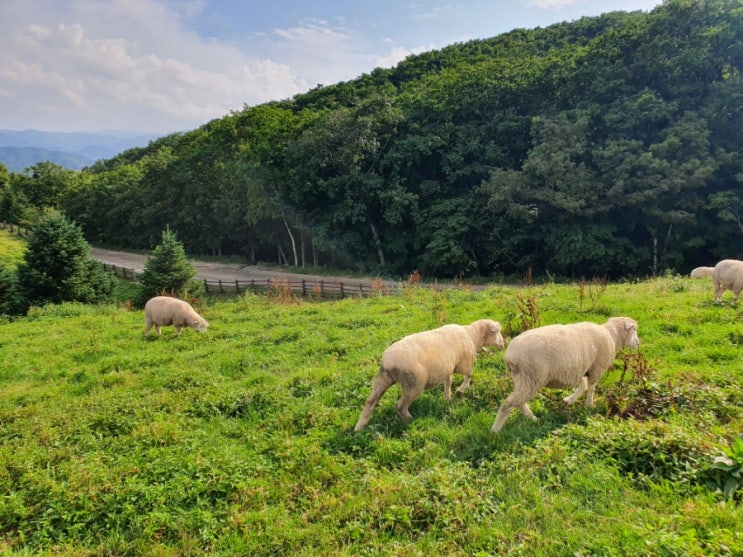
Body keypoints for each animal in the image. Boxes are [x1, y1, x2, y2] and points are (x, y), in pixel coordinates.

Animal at [354, 318, 506, 430]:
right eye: (497, 332)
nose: (503, 344)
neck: (472, 336)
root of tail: (388, 361)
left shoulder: (447, 368)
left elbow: (448, 382)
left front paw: (447, 397)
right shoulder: (462, 364)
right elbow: (469, 374)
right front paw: (461, 390)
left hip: (383, 379)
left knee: (370, 401)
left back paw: (360, 426)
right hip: (414, 383)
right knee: (400, 406)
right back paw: (410, 420)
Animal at [492, 314, 644, 432]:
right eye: (634, 329)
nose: (638, 343)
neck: (612, 336)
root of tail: (509, 356)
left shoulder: (579, 368)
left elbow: (583, 385)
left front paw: (568, 400)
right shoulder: (597, 368)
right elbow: (591, 387)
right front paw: (589, 405)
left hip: (522, 379)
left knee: (519, 402)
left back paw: (533, 418)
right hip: (531, 377)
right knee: (508, 404)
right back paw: (495, 430)